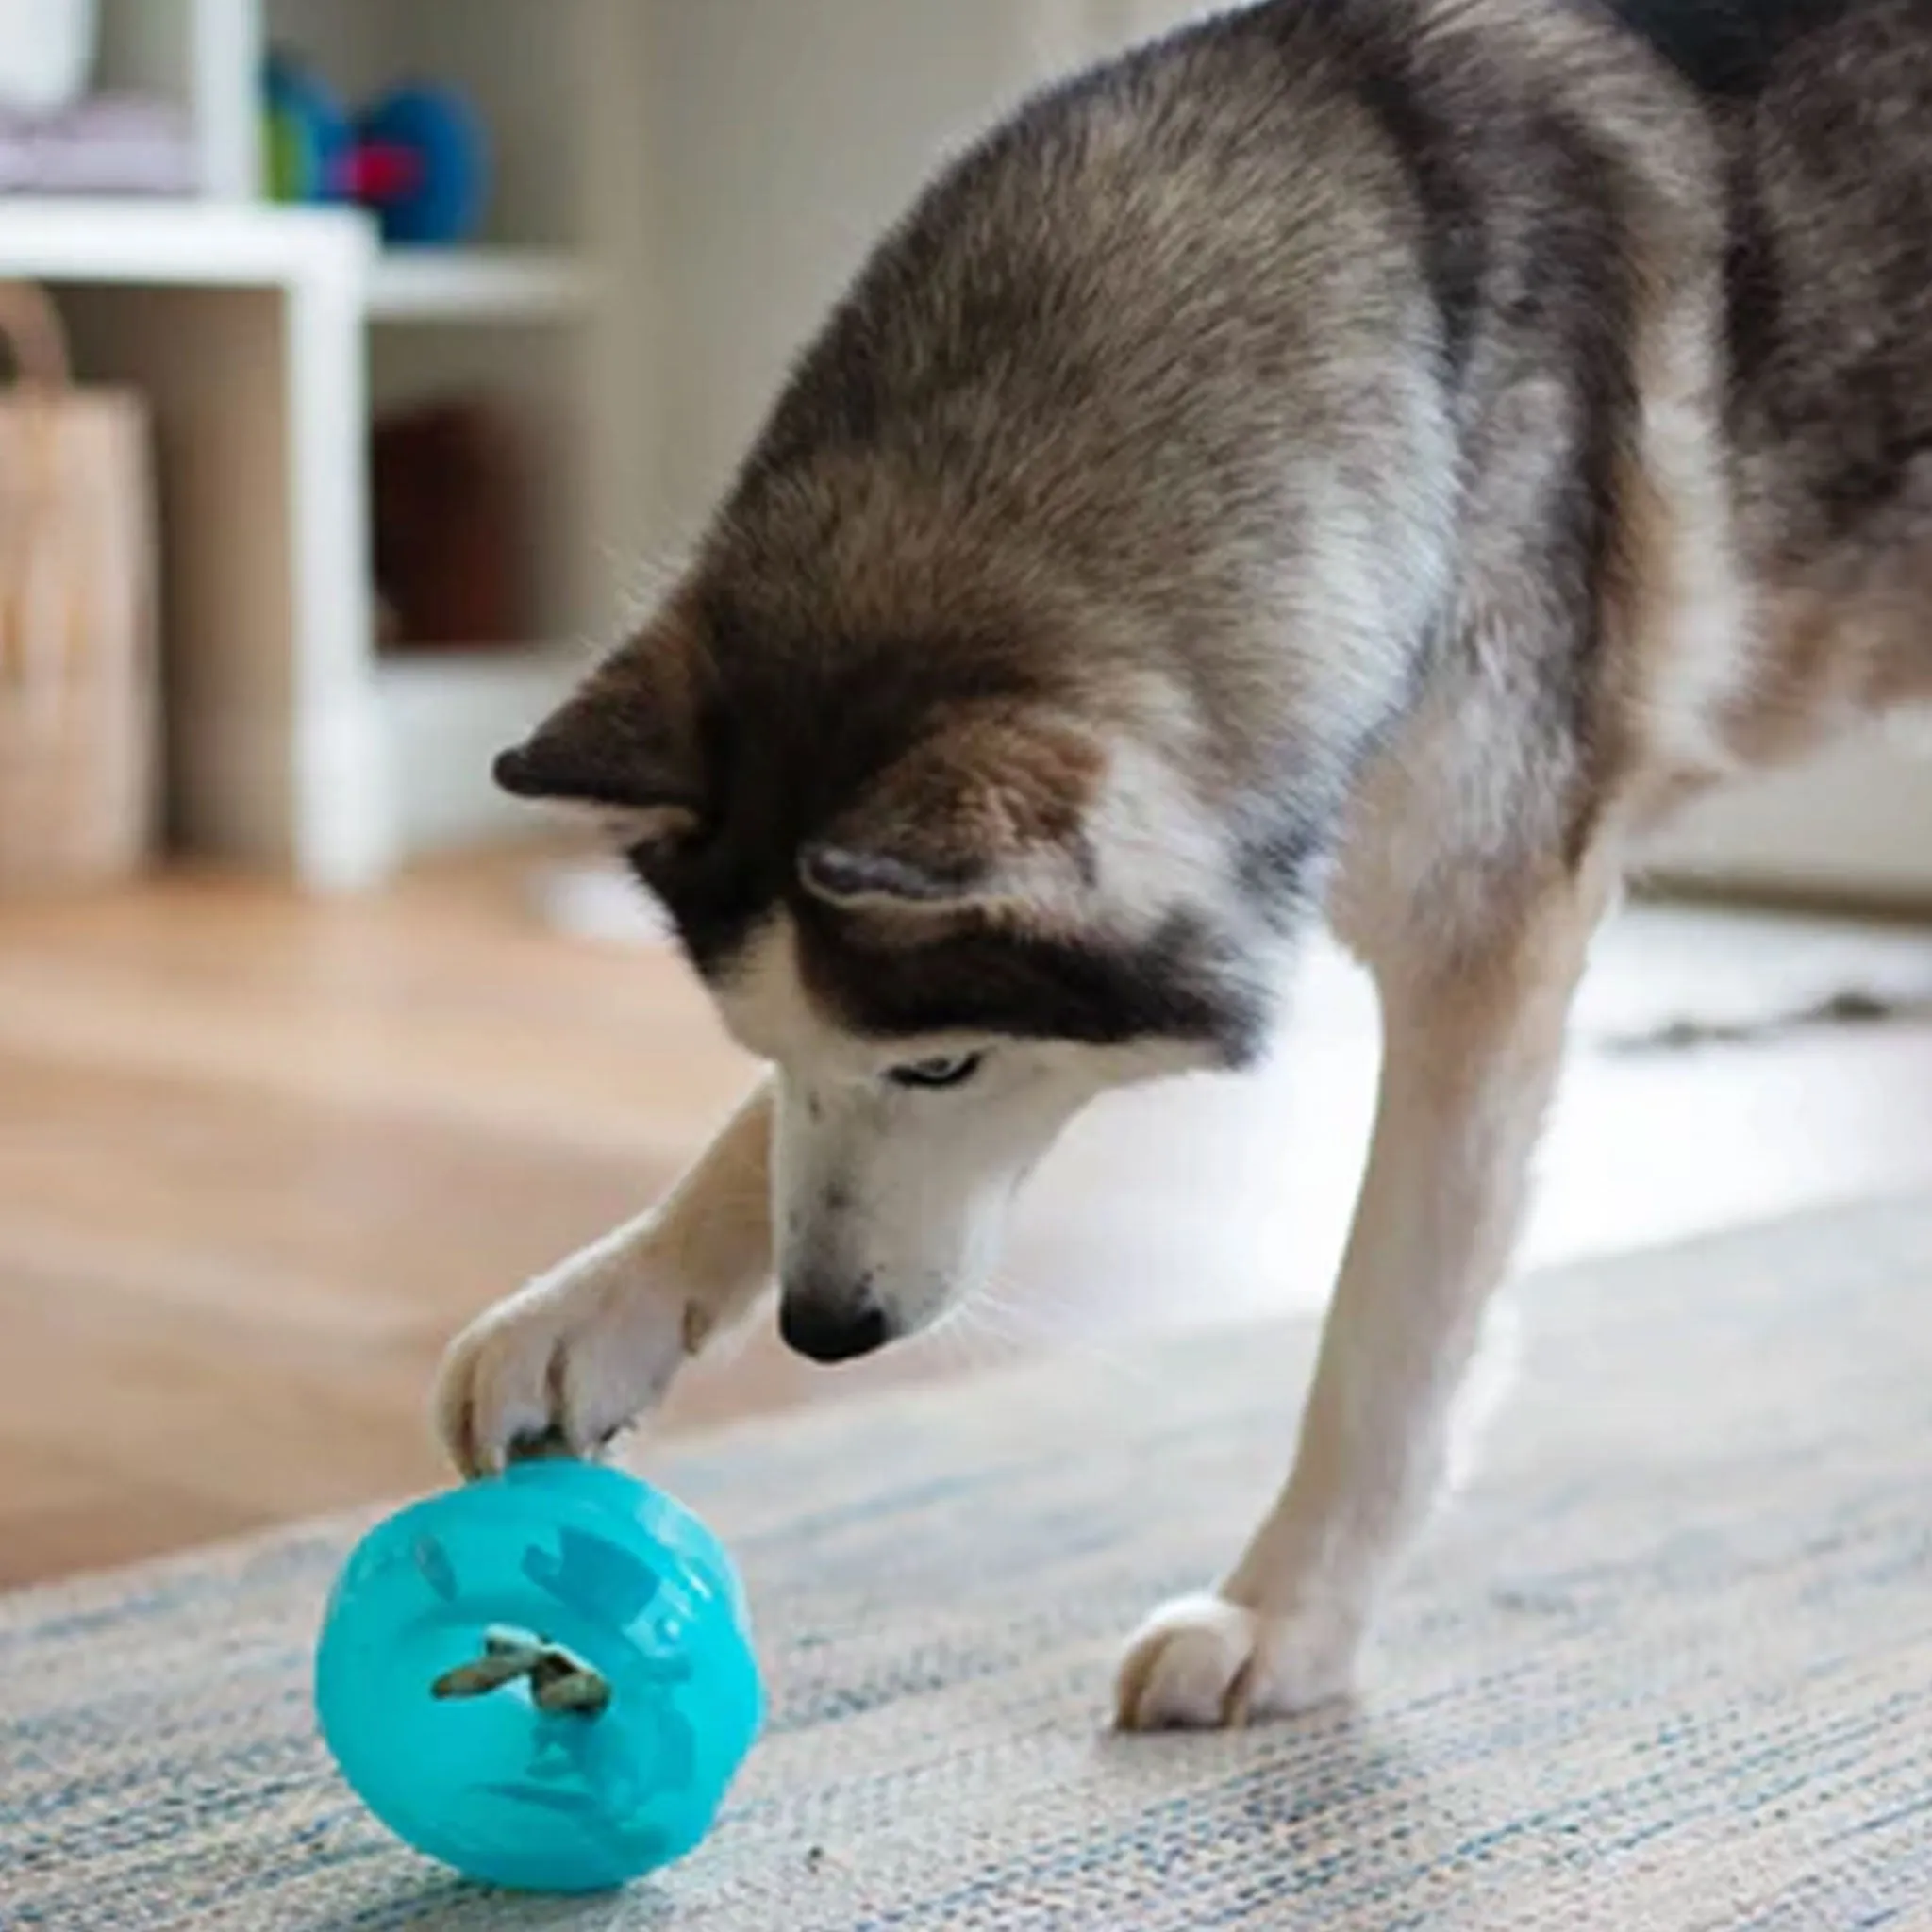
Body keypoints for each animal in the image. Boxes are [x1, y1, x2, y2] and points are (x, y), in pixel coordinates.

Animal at [438, 0, 1932, 1731]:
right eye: (759, 1038)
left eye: (943, 1064)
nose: (823, 1331)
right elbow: (750, 1147)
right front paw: (595, 1313)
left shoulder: (1484, 944)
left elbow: (1387, 1328)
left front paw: (1286, 1616)